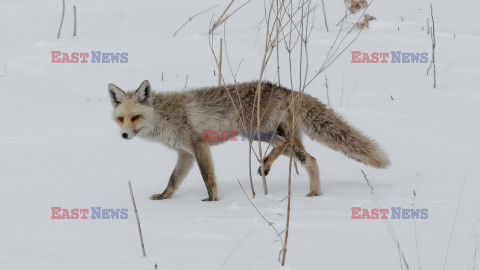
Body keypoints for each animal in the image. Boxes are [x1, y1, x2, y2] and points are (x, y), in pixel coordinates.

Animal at [109, 80, 390, 200]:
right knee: (311, 159)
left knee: (284, 145)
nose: (123, 136)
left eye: (135, 117)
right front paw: (164, 197)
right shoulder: (185, 153)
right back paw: (314, 194)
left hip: (255, 132)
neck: (164, 116)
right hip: (277, 136)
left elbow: (208, 178)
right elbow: (173, 180)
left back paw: (266, 166)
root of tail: (285, 89)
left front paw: (212, 202)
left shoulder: (199, 146)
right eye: (121, 119)